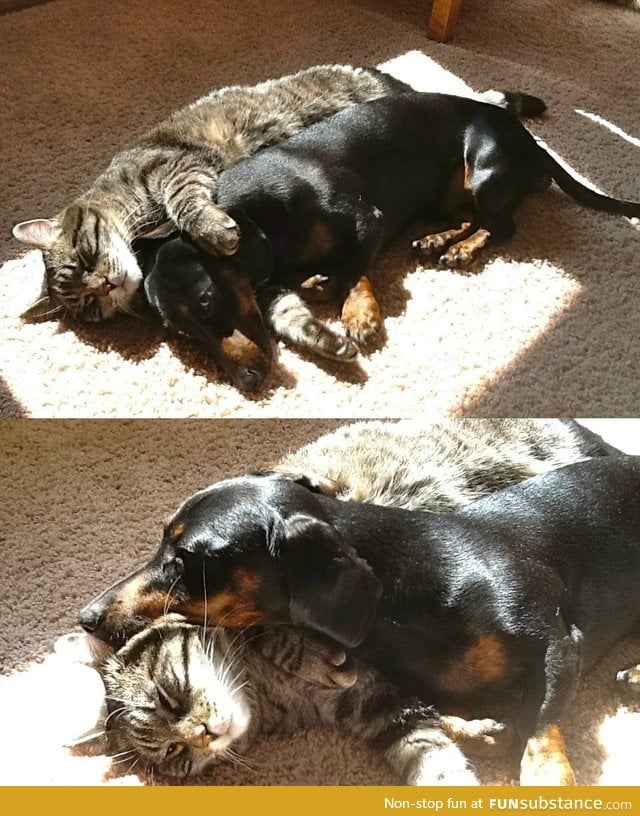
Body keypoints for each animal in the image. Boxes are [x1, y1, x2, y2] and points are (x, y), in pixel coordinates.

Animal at [11, 64, 404, 322]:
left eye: (84, 258)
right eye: (89, 304)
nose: (105, 286)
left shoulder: (177, 165)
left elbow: (184, 200)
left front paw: (215, 231)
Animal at [86, 620, 496, 788]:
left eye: (167, 698)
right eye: (174, 751)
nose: (203, 735)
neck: (266, 692)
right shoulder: (377, 709)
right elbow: (435, 757)